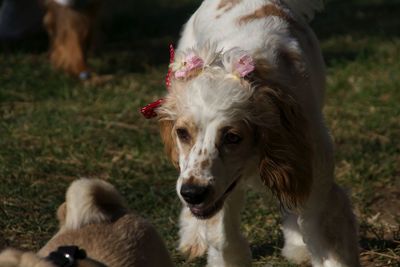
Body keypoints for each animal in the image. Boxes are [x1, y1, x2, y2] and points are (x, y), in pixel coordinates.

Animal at [150, 0, 360, 267]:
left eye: (232, 137)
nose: (193, 194)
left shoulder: (315, 187)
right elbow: (223, 237)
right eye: (182, 133)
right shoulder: (219, 193)